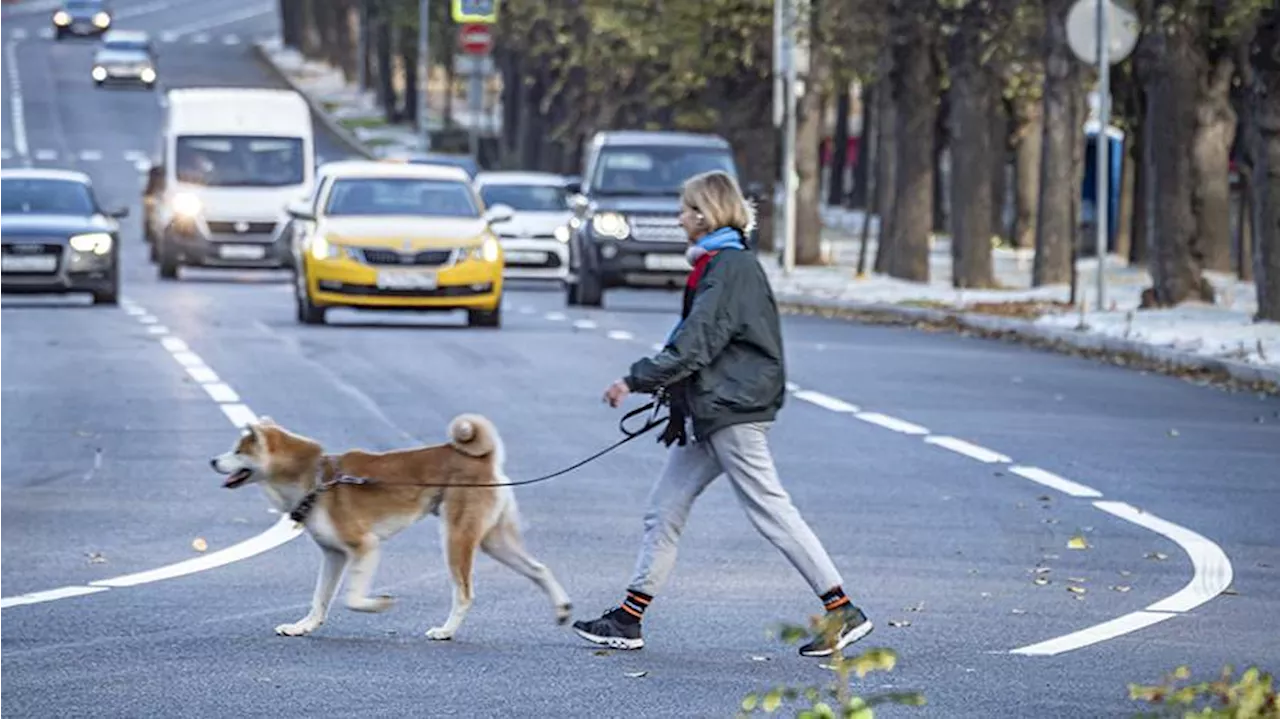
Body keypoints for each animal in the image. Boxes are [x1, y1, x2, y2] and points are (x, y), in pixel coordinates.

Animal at [212, 414, 573, 637]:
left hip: (457, 538)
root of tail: (483, 459)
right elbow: (320, 598)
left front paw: (379, 604)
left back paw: (446, 631)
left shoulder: (365, 546)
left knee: (465, 593)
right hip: (492, 541)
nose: (212, 460)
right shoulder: (334, 555)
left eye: (237, 450)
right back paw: (562, 608)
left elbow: (352, 599)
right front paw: (303, 626)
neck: (315, 478)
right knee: (539, 569)